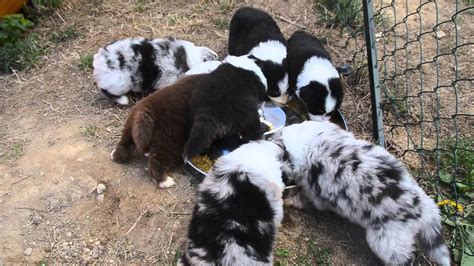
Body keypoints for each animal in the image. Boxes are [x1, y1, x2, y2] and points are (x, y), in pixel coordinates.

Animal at [272, 121, 450, 266]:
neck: (301, 146)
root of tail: (424, 209)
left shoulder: (315, 195)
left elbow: (304, 199)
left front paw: (291, 201)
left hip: (387, 242)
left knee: (404, 258)